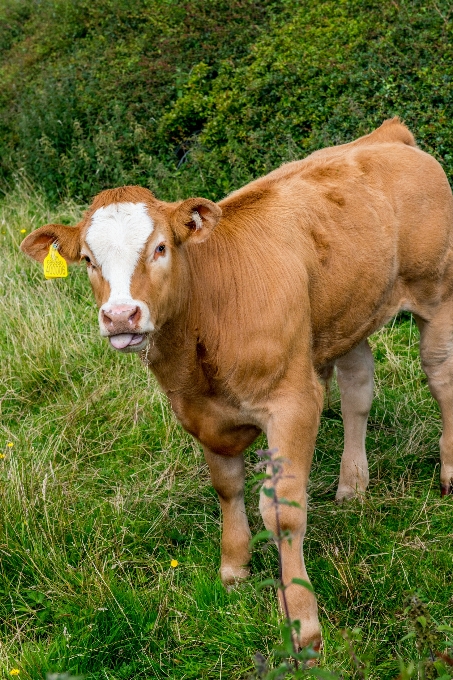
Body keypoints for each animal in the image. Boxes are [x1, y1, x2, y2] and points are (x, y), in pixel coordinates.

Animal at [19, 119, 452, 652]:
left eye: (160, 247)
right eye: (87, 259)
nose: (121, 315)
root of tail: (386, 135)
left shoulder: (293, 401)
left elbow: (284, 512)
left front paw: (303, 623)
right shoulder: (200, 413)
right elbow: (227, 487)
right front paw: (234, 568)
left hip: (437, 290)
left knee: (440, 374)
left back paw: (447, 472)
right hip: (348, 312)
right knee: (357, 388)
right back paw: (352, 485)